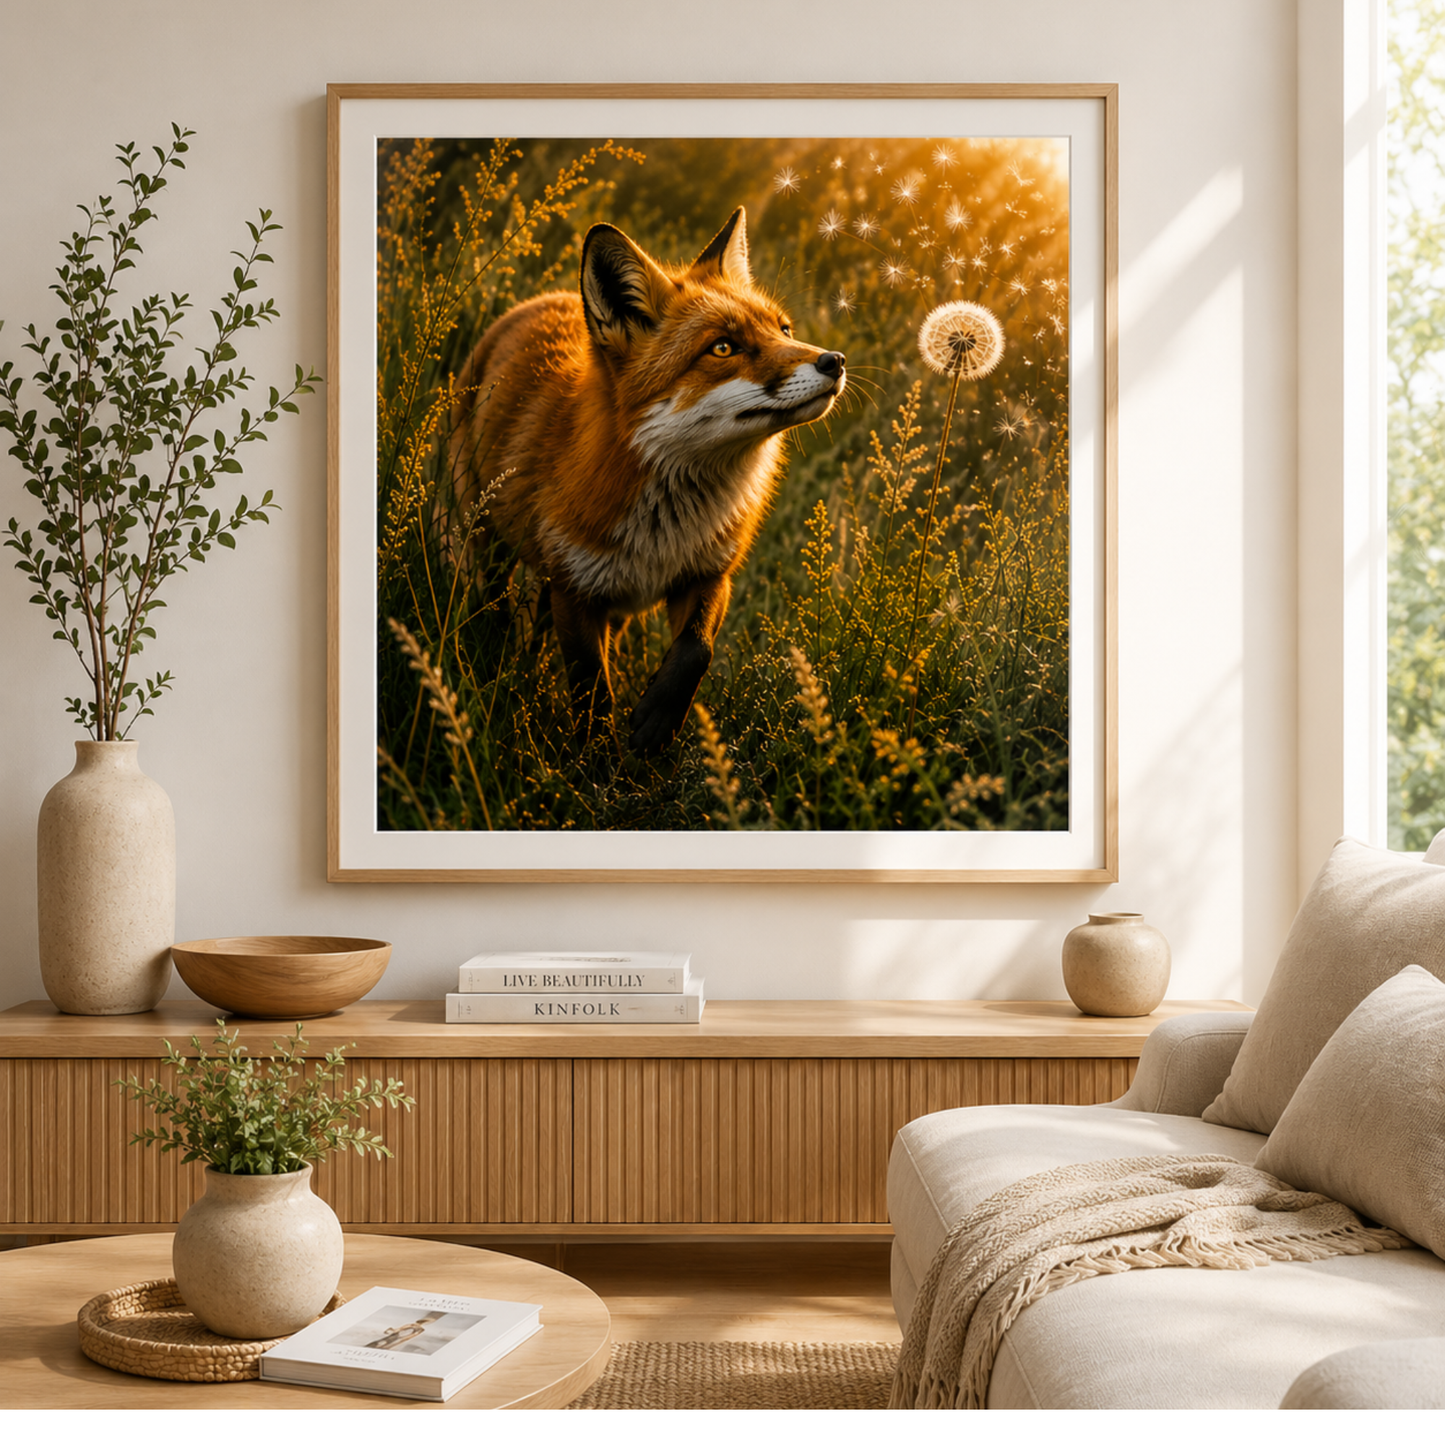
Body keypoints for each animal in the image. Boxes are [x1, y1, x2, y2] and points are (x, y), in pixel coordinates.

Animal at [444, 206, 846, 755]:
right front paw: (596, 762)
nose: (835, 361)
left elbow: (696, 650)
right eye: (724, 347)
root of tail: (544, 298)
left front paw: (657, 723)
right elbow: (592, 689)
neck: (667, 530)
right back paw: (496, 657)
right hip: (490, 541)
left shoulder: (708, 574)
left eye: (783, 328)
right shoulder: (576, 590)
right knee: (495, 604)